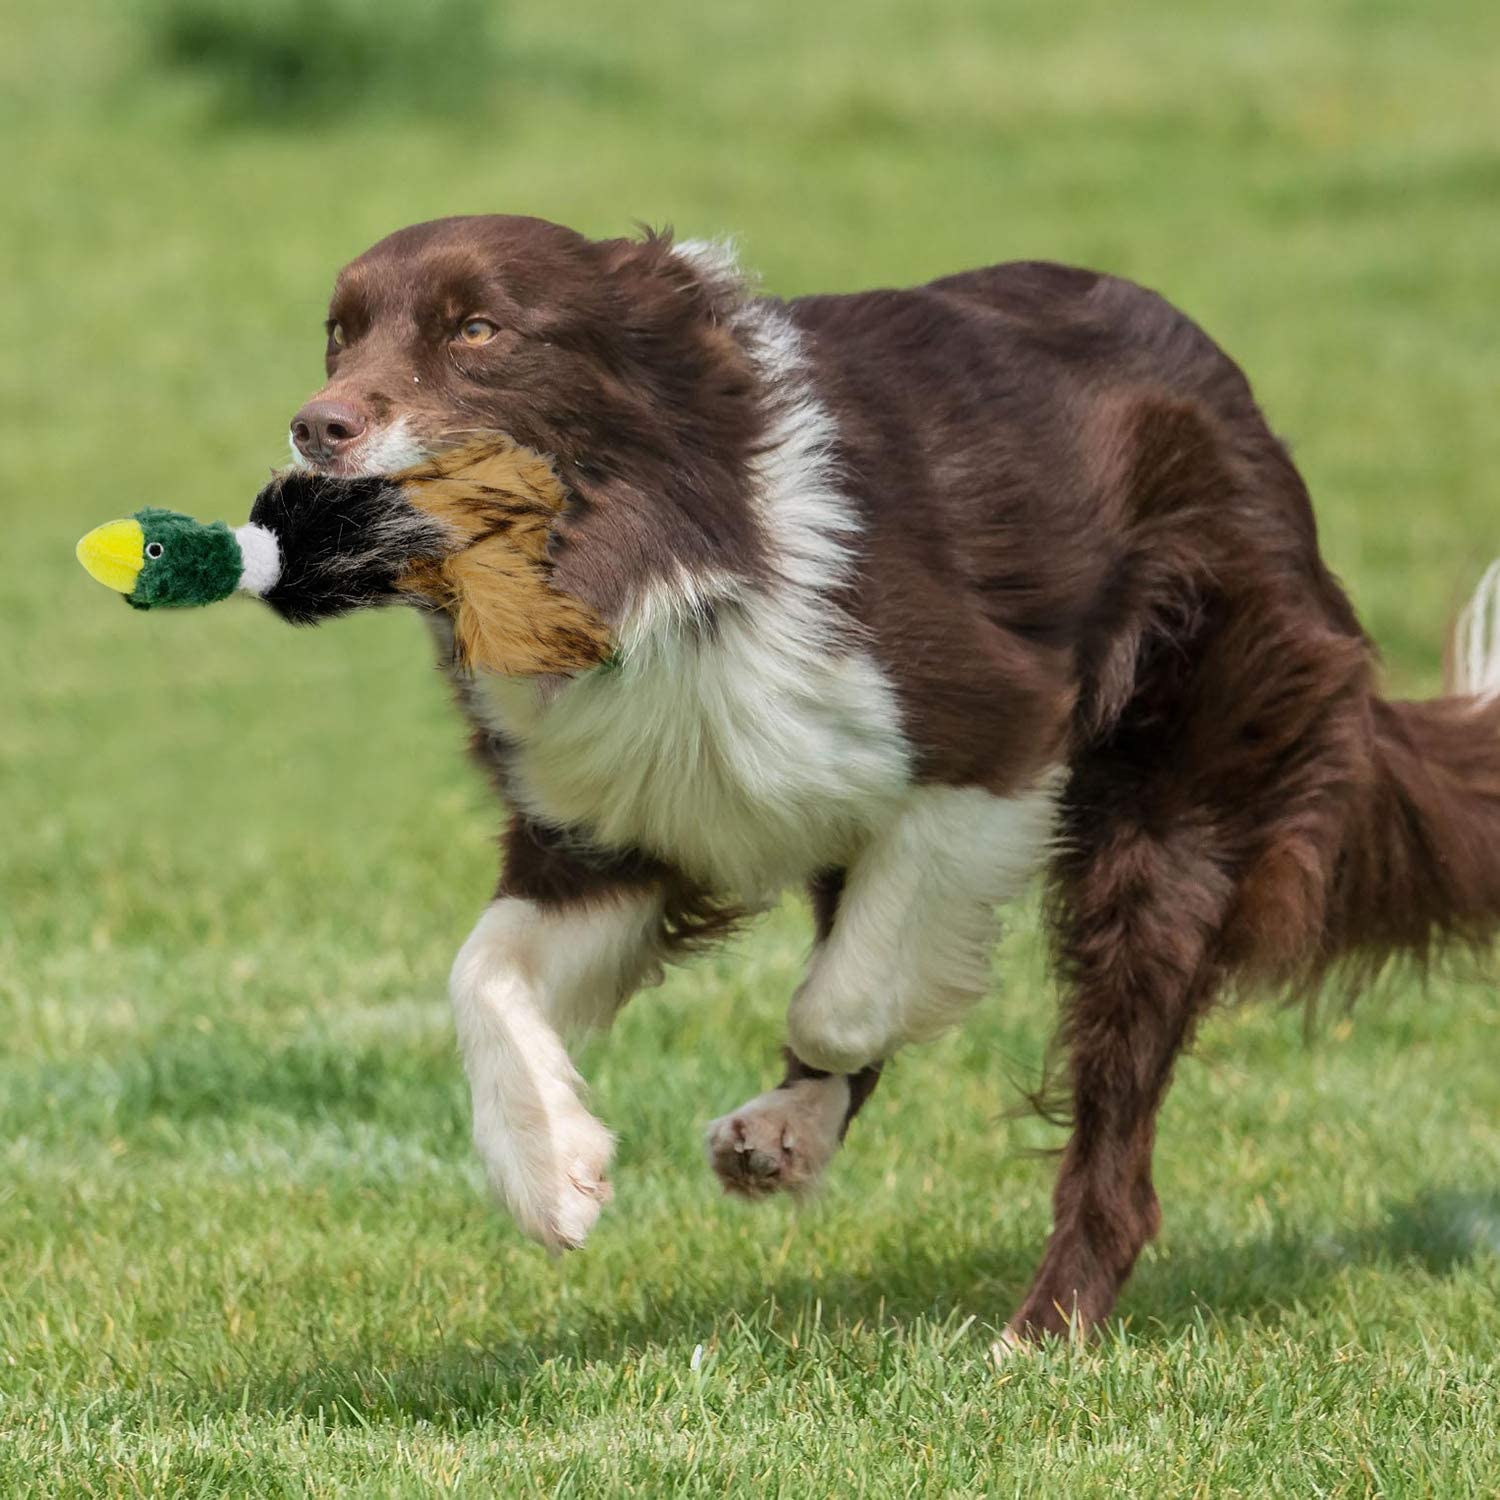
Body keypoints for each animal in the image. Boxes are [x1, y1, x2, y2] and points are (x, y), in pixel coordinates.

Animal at [286, 208, 1500, 1338]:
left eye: (478, 331)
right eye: (338, 336)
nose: (314, 426)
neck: (645, 535)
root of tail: (1243, 413)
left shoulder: (993, 739)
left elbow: (843, 1003)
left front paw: (796, 1094)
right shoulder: (615, 822)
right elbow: (481, 971)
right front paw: (553, 1172)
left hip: (1179, 788)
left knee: (1116, 1128)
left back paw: (1041, 1331)